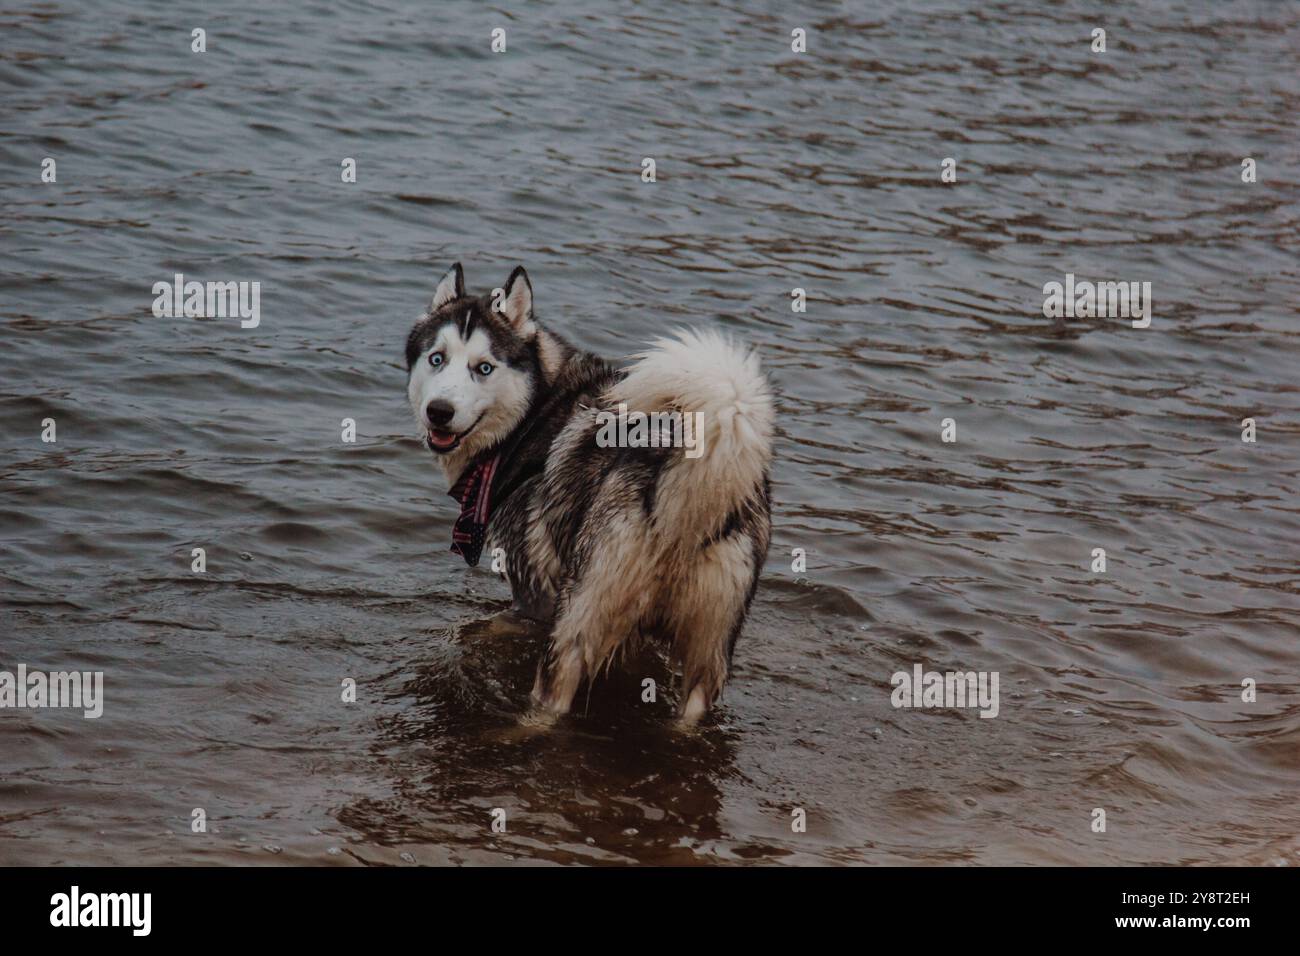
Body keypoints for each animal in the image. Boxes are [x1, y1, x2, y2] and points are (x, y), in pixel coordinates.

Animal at [405, 261, 769, 723]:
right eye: (437, 359)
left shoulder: (535, 600)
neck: (536, 413)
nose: (439, 411)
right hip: (710, 651)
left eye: (483, 368)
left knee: (552, 703)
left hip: (576, 624)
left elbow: (495, 623)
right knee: (691, 715)